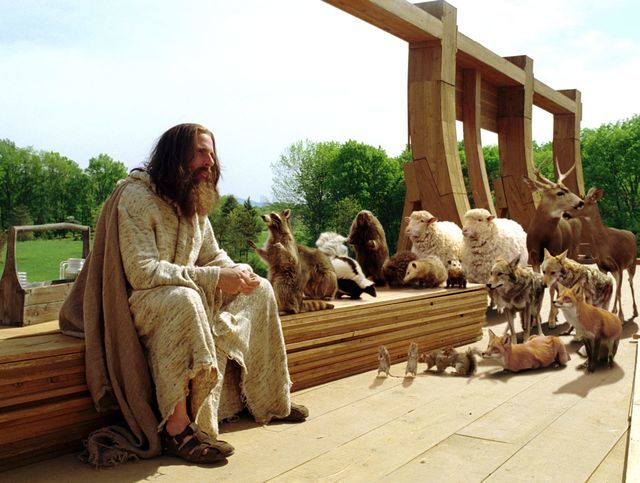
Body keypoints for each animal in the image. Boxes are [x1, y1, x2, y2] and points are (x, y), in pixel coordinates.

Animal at [521, 161, 584, 327]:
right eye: (560, 192)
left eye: (568, 189)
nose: (580, 202)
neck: (542, 237)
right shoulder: (534, 257)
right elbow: (541, 284)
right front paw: (534, 319)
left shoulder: (555, 253)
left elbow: (551, 288)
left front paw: (550, 319)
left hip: (574, 248)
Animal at [564, 187, 637, 322]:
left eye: (581, 203)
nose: (565, 214)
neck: (605, 244)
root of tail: (632, 234)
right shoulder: (602, 266)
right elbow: (611, 290)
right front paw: (609, 313)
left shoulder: (619, 264)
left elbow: (619, 292)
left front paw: (620, 315)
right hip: (616, 270)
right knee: (620, 285)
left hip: (632, 264)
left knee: (630, 283)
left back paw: (634, 311)